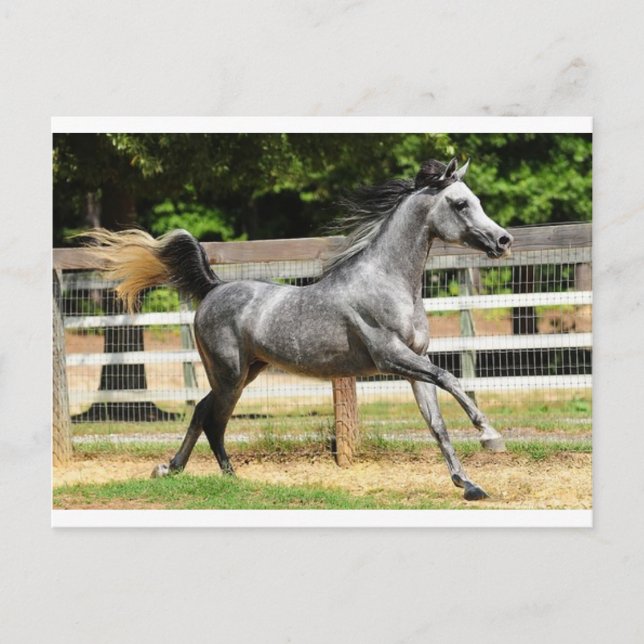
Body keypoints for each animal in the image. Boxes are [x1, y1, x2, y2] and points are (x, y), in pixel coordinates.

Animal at [85, 157, 513, 500]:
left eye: (476, 199)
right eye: (460, 203)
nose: (504, 240)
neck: (388, 282)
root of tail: (215, 287)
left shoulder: (413, 364)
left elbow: (437, 423)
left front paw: (469, 485)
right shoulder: (391, 357)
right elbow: (450, 378)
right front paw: (490, 436)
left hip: (245, 372)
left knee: (203, 412)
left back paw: (181, 470)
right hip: (229, 374)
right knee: (212, 418)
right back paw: (222, 476)